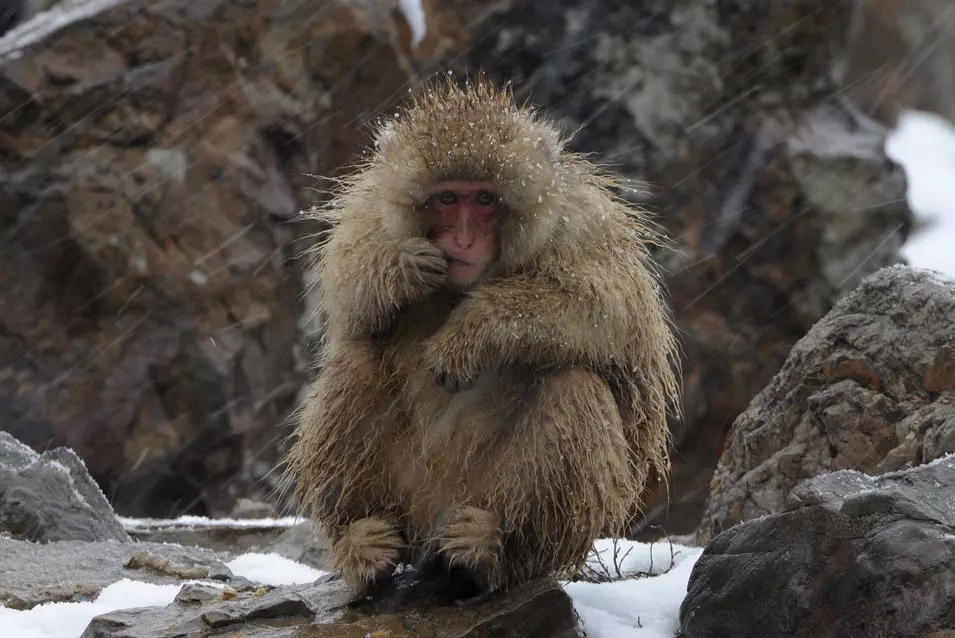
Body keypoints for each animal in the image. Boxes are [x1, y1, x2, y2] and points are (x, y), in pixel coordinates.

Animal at [284, 77, 680, 596]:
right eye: (449, 200)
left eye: (485, 200)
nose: (466, 239)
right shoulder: (369, 213)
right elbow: (346, 290)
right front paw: (402, 268)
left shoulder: (582, 225)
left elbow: (607, 311)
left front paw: (473, 331)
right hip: (409, 496)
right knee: (357, 361)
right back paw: (363, 543)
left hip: (494, 495)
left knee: (577, 386)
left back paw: (494, 552)